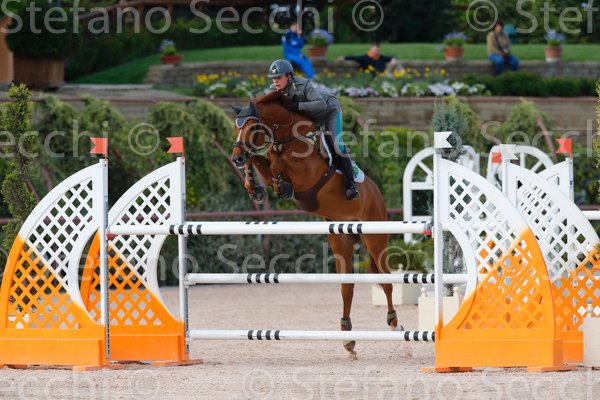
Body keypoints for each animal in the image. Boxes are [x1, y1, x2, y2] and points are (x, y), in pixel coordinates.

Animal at [230, 90, 400, 358]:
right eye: (237, 127)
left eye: (251, 127)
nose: (236, 157)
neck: (287, 137)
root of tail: (377, 195)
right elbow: (259, 160)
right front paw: (254, 187)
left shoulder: (305, 175)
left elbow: (279, 163)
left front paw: (278, 182)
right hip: (340, 238)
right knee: (347, 287)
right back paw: (348, 339)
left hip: (374, 237)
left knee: (385, 280)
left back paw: (394, 324)